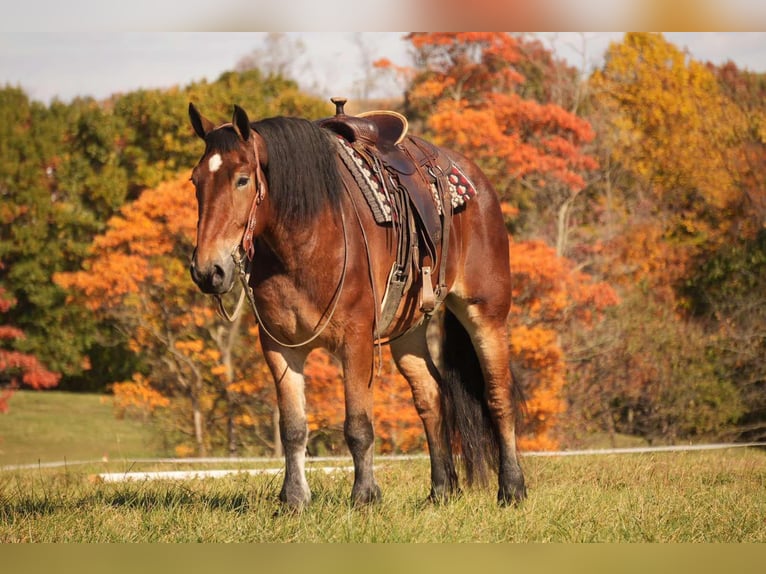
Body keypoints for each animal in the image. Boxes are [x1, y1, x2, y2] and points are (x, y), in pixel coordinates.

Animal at [186, 102, 528, 508]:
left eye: (242, 180)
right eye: (195, 181)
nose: (207, 271)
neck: (306, 240)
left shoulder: (357, 340)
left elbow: (358, 426)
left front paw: (365, 495)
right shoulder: (279, 347)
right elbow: (293, 428)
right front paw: (294, 498)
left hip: (485, 313)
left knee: (498, 396)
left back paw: (512, 488)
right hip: (408, 331)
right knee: (430, 395)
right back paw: (441, 490)